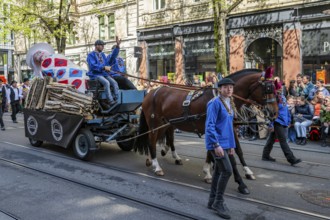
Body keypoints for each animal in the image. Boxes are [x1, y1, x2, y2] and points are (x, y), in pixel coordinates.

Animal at [133, 69, 278, 180]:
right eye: (268, 88)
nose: (275, 112)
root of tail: (151, 92)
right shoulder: (212, 129)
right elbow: (212, 150)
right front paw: (207, 172)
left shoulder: (231, 129)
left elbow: (238, 150)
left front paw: (247, 171)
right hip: (154, 124)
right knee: (151, 141)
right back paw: (157, 166)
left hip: (165, 123)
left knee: (162, 139)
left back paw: (157, 158)